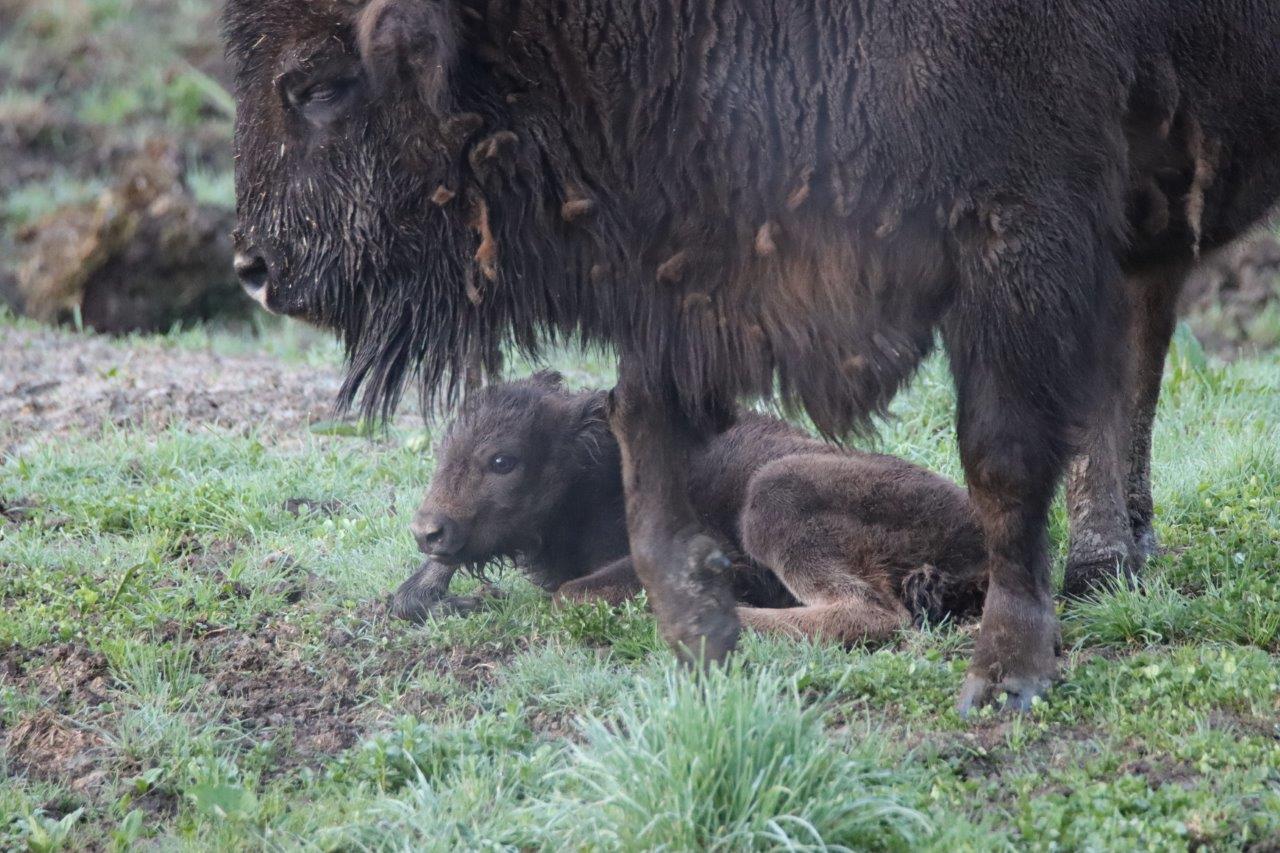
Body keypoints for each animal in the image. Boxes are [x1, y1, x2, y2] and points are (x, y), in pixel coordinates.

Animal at [394, 371, 983, 645]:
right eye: (443, 448)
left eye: (502, 459)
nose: (427, 532)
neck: (592, 465)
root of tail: (971, 531)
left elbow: (570, 594)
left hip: (774, 492)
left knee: (869, 612)